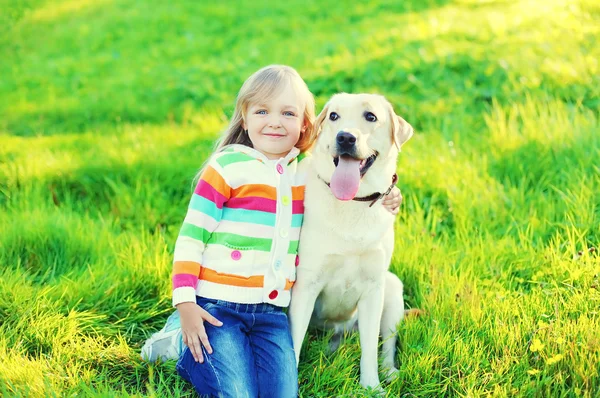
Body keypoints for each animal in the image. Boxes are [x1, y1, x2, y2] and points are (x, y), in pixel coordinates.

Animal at [290, 92, 412, 388]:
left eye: (371, 116)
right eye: (334, 116)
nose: (345, 137)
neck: (352, 202)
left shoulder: (373, 290)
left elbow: (369, 348)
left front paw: (371, 386)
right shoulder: (306, 286)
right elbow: (293, 343)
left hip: (392, 289)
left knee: (387, 343)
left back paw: (389, 371)